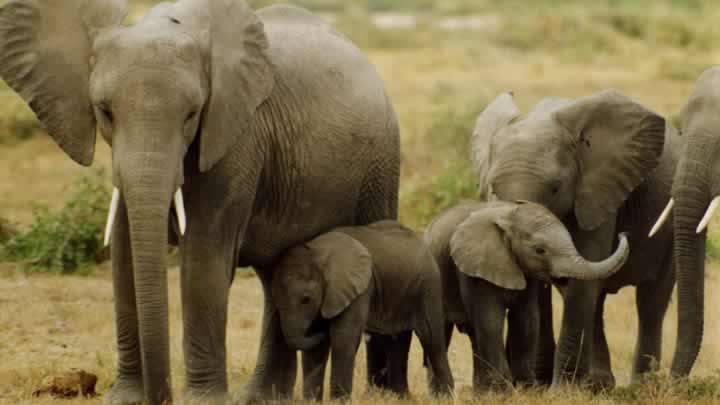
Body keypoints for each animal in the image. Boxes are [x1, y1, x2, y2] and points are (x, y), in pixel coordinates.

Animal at [0, 1, 402, 402]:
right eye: (105, 111)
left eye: (192, 114)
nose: (161, 396)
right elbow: (125, 258)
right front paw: (125, 398)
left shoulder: (236, 139)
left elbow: (203, 261)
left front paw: (202, 399)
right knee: (278, 277)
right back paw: (262, 398)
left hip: (381, 164)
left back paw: (381, 393)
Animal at [272, 218, 452, 398]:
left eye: (306, 299)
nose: (322, 332)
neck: (317, 253)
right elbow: (315, 350)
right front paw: (311, 400)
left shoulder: (360, 288)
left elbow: (344, 338)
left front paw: (338, 400)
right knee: (396, 343)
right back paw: (402, 398)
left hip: (428, 286)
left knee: (432, 340)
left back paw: (446, 397)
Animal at [424, 200, 628, 390]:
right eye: (540, 250)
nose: (622, 234)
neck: (508, 216)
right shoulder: (474, 269)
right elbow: (490, 321)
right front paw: (503, 393)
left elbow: (526, 321)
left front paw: (526, 389)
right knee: (441, 335)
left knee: (474, 336)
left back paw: (481, 394)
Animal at [472, 90, 680, 386]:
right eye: (492, 188)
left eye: (555, 188)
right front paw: (539, 387)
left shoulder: (599, 190)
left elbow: (583, 278)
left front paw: (562, 389)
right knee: (597, 298)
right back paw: (599, 386)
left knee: (651, 300)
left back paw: (639, 386)